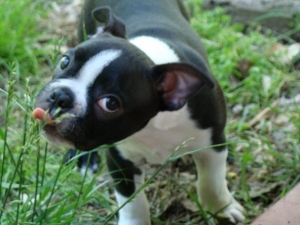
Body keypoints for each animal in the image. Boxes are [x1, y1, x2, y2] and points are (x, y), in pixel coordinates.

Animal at [33, 0, 244, 224]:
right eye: (64, 62)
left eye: (110, 103)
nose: (60, 96)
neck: (154, 124)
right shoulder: (120, 159)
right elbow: (132, 202)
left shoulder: (212, 142)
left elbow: (211, 181)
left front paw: (222, 208)